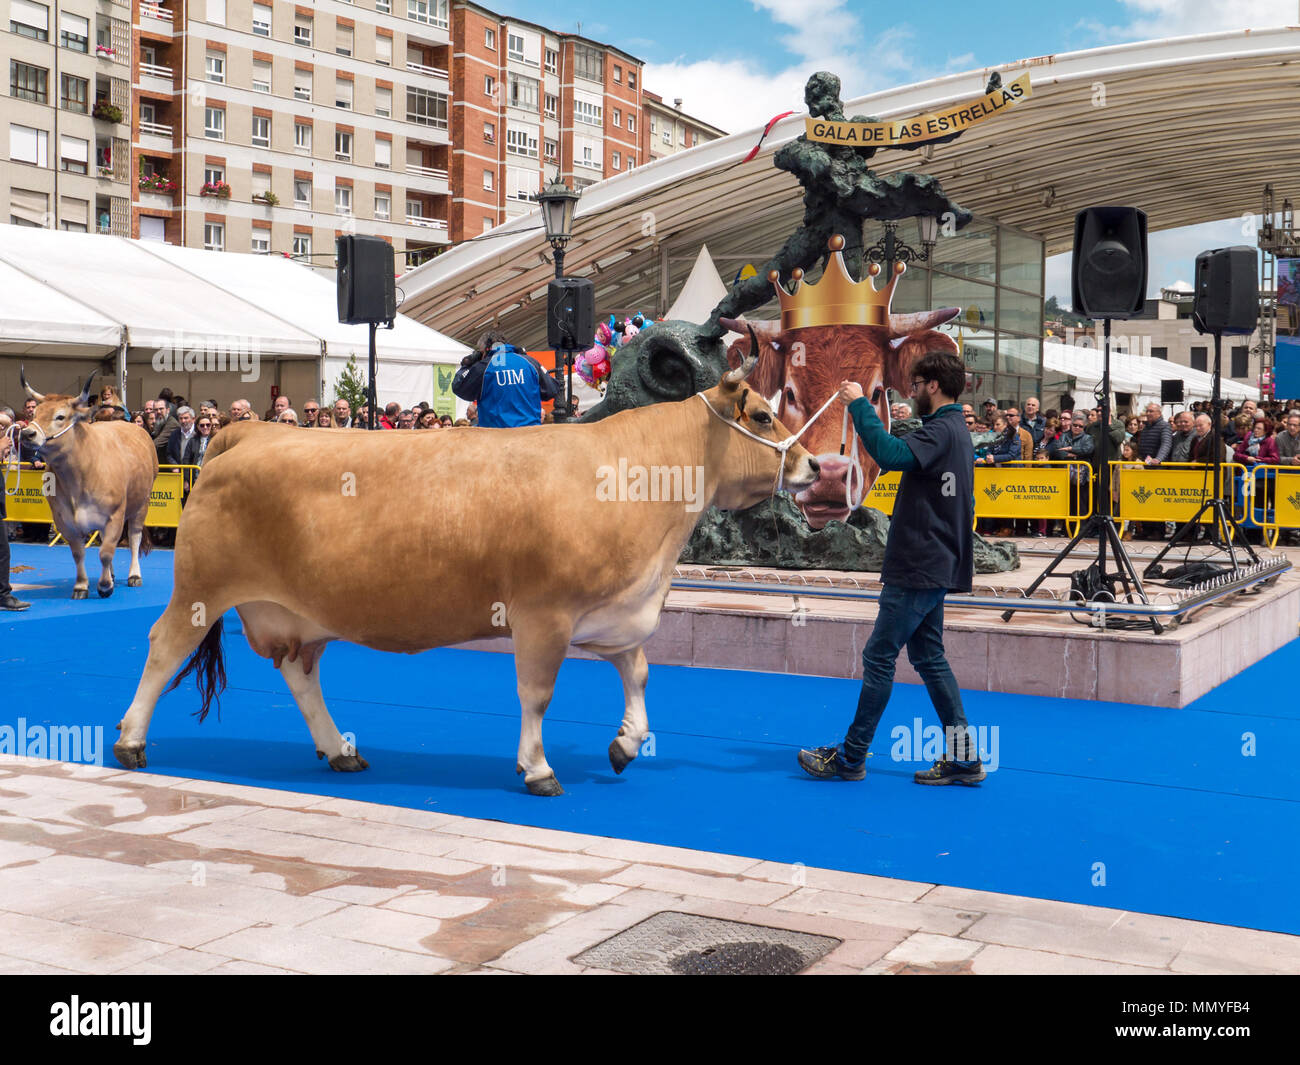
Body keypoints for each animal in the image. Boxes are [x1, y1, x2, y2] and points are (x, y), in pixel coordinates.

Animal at [18, 371, 157, 595]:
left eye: (60, 416)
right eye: (34, 414)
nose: (27, 433)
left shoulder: (115, 515)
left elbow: (106, 552)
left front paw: (104, 586)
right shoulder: (64, 520)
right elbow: (79, 554)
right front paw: (82, 585)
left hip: (142, 503)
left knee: (134, 538)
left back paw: (134, 575)